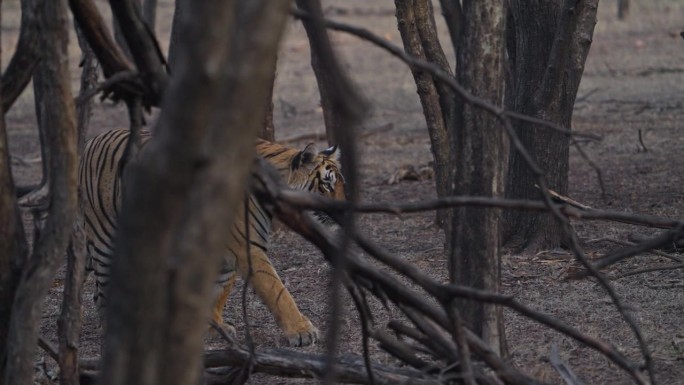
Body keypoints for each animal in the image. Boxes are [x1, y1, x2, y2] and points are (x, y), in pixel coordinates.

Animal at [81, 128, 344, 344]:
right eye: (327, 184)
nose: (344, 210)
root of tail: (92, 140)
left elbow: (216, 290)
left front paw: (213, 327)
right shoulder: (248, 248)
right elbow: (277, 290)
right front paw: (301, 331)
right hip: (105, 239)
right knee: (103, 291)